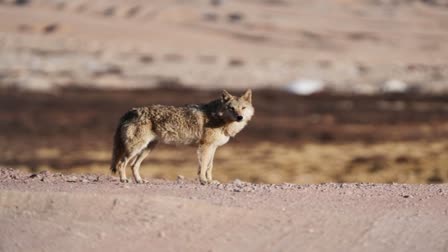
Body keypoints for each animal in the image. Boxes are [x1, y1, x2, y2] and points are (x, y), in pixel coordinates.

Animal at [110, 89, 254, 184]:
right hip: (135, 148)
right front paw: (203, 181)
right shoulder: (205, 147)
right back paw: (124, 179)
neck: (219, 118)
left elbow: (209, 166)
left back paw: (139, 180)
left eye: (243, 108)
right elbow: (203, 166)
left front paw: (210, 180)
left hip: (147, 149)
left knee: (133, 165)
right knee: (121, 163)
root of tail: (131, 111)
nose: (240, 117)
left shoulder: (213, 147)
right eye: (231, 108)